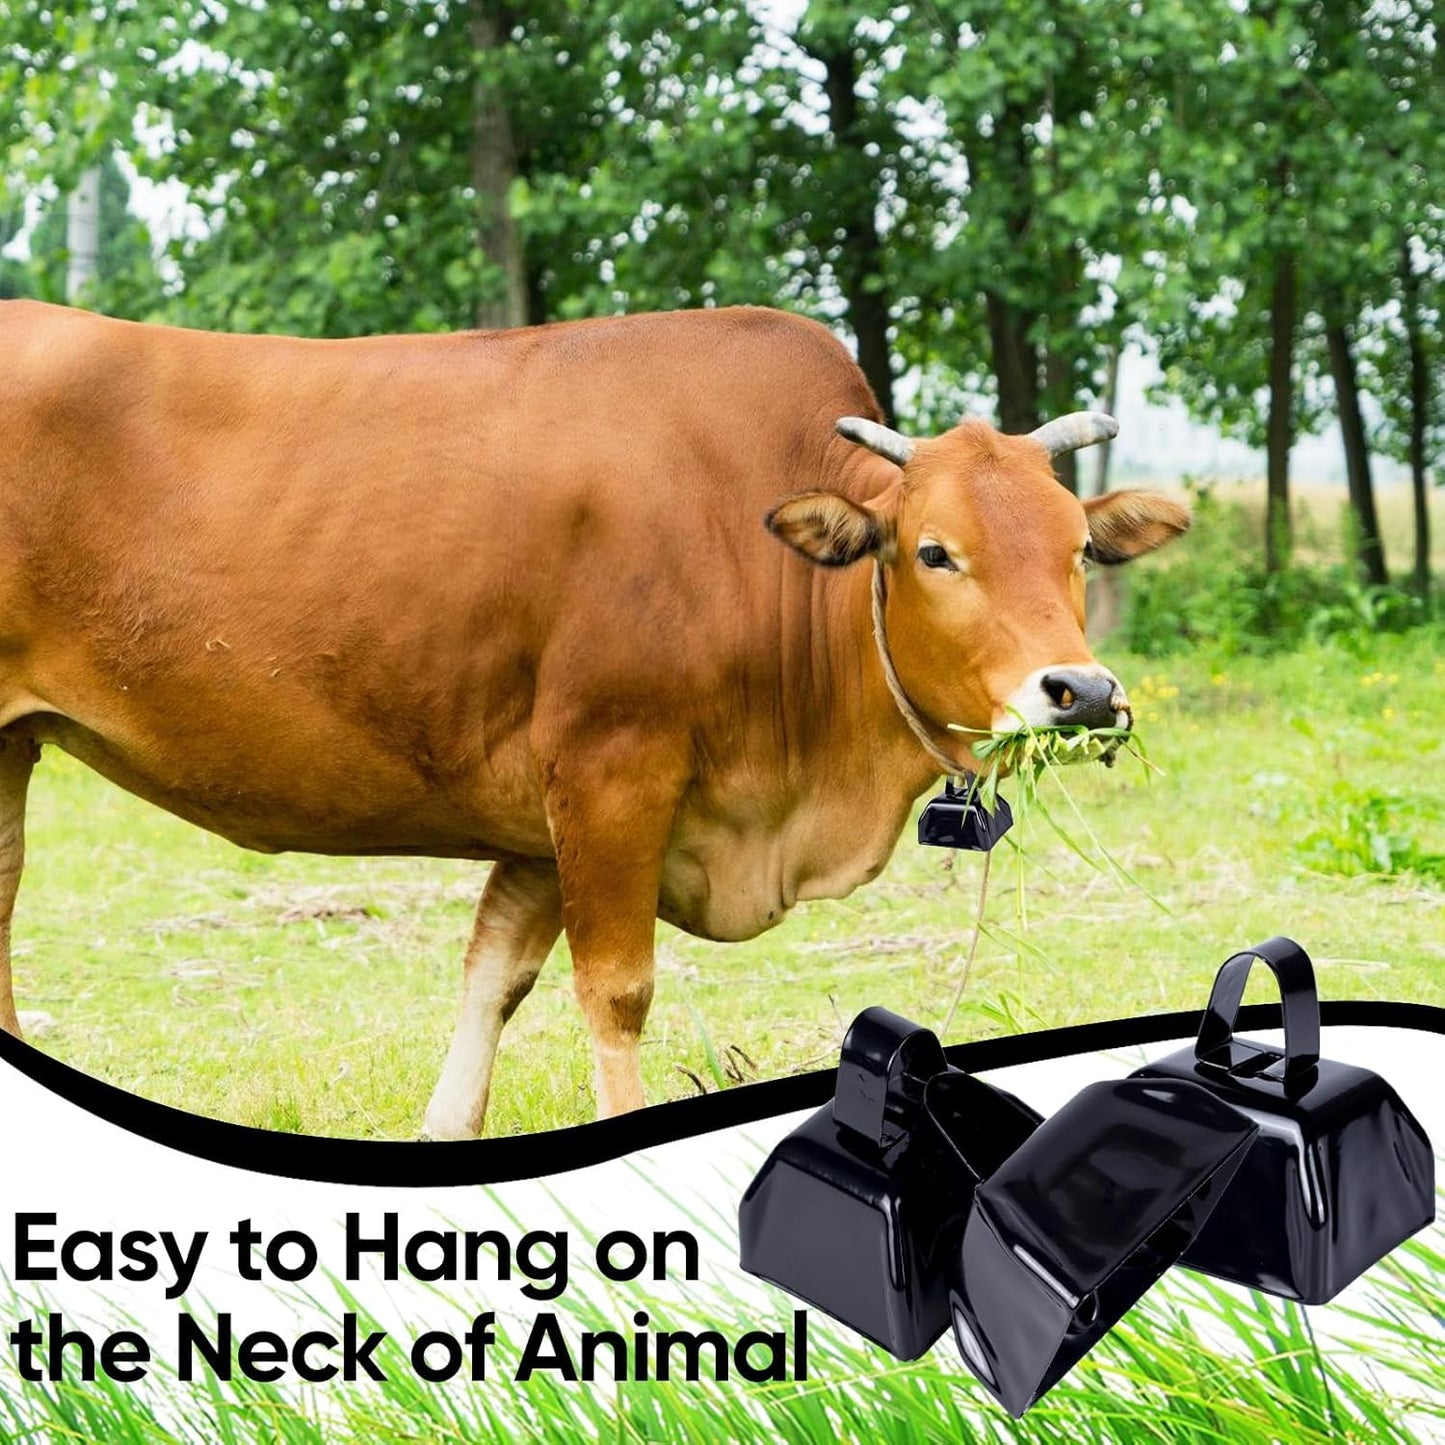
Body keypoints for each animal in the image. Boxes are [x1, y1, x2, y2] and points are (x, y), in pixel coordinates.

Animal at [0, 299, 1188, 1137]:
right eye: (935, 550)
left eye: (1076, 548)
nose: (1080, 691)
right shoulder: (609, 771)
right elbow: (614, 991)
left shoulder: (541, 818)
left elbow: (494, 974)